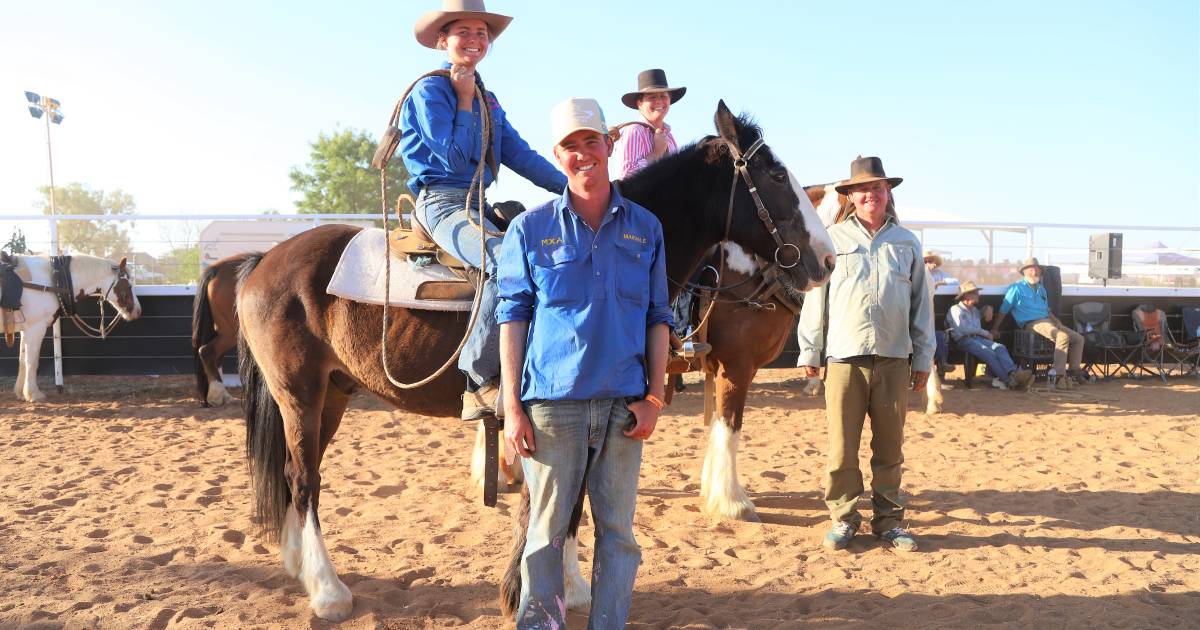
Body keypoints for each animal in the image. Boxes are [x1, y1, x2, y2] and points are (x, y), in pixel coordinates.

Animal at [4, 253, 141, 400]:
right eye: (128, 285)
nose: (138, 311)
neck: (49, 281)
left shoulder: (26, 329)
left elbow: (23, 360)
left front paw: (21, 393)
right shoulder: (35, 328)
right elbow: (31, 361)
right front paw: (34, 394)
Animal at [234, 103, 835, 619]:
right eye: (775, 175)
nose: (826, 259)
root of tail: (266, 260)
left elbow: (575, 500)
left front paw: (571, 585)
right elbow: (557, 499)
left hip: (331, 394)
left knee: (295, 475)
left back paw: (299, 567)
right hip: (300, 393)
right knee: (304, 479)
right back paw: (328, 591)